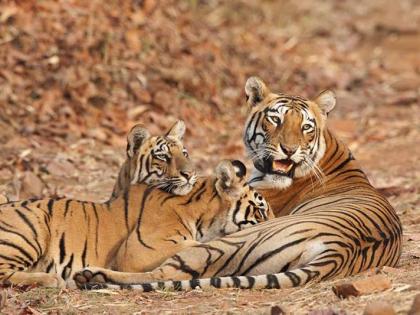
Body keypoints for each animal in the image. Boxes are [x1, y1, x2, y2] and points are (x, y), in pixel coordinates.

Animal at [75, 78, 404, 292]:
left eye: (306, 127)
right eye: (276, 120)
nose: (289, 150)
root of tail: (340, 249)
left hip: (223, 243)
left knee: (158, 272)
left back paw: (92, 277)